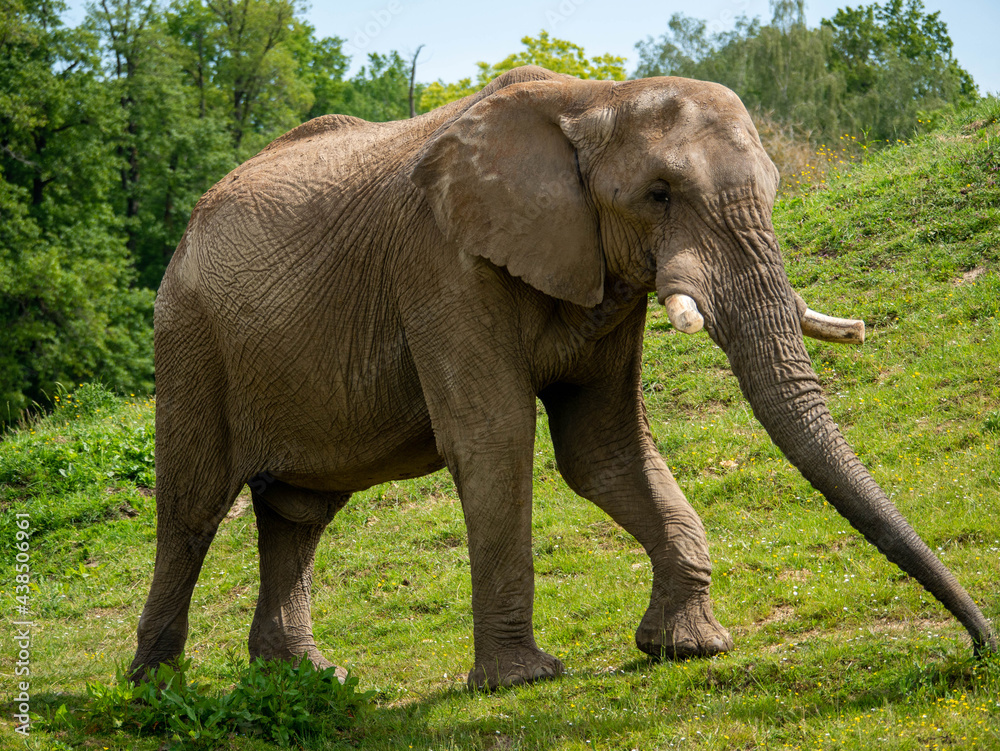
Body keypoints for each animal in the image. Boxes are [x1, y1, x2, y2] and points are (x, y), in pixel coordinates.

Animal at [130, 65, 995, 690]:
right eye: (659, 195)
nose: (981, 647)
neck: (594, 101)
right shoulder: (440, 263)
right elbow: (495, 439)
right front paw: (521, 680)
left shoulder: (604, 277)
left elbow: (602, 446)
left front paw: (691, 648)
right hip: (189, 338)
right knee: (192, 507)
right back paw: (156, 690)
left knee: (299, 510)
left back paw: (310, 680)